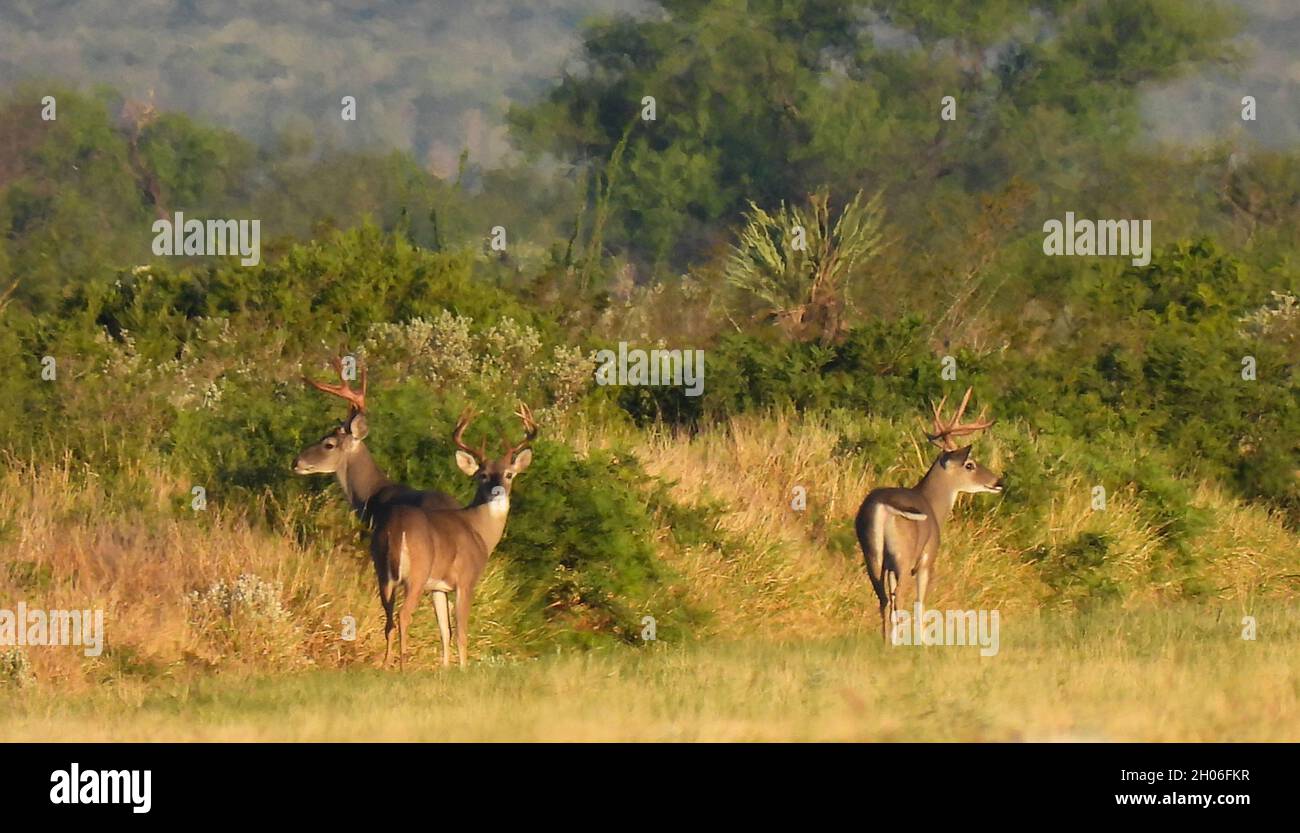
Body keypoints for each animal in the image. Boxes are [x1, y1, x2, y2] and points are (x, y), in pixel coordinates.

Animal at [852, 387, 1003, 644]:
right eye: (970, 464)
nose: (998, 481)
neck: (933, 505)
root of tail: (882, 507)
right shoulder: (927, 558)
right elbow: (920, 604)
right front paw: (923, 643)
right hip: (903, 554)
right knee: (899, 599)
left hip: (872, 553)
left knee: (883, 598)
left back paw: (886, 642)